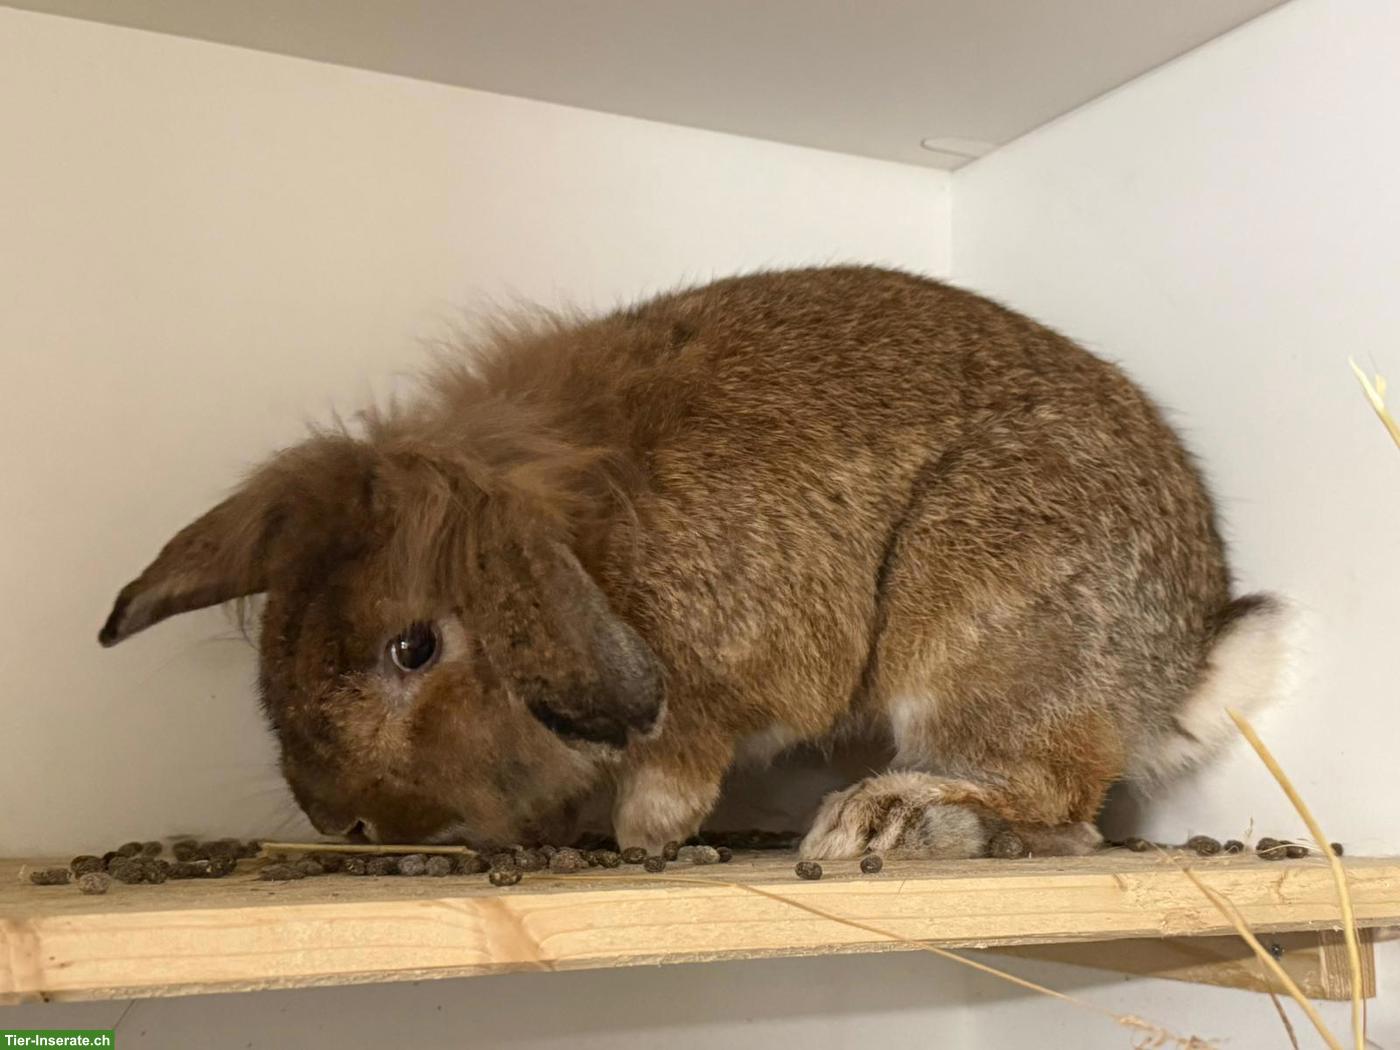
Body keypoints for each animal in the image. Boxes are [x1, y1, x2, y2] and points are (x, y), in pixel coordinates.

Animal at [99, 265, 1294, 856]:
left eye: (413, 648)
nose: (336, 825)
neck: (587, 545)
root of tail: (1175, 672)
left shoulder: (716, 691)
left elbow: (675, 766)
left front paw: (644, 841)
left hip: (978, 634)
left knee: (1057, 799)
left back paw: (883, 823)